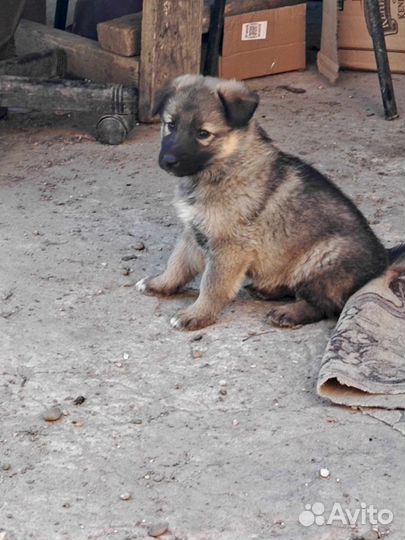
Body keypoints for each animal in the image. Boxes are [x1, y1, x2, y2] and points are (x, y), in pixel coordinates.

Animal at [137, 74, 402, 332]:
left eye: (203, 134)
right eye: (171, 125)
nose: (168, 160)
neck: (224, 166)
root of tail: (383, 260)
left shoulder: (229, 246)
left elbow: (211, 285)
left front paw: (197, 314)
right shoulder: (194, 231)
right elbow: (177, 263)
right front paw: (159, 283)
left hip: (323, 258)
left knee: (325, 305)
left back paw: (289, 313)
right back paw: (266, 289)